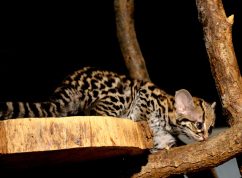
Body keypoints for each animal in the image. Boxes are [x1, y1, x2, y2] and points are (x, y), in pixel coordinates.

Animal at [0, 66, 216, 152]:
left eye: (211, 127)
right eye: (199, 124)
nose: (206, 137)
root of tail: (67, 86)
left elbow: (166, 143)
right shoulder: (144, 95)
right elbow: (142, 114)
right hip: (117, 97)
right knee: (99, 112)